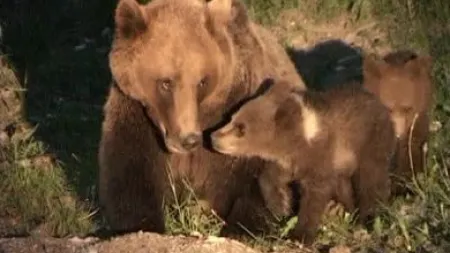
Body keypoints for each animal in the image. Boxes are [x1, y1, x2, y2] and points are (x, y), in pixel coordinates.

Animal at [98, 0, 306, 237]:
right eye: (166, 82)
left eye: (202, 81)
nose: (189, 139)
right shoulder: (134, 114)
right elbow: (130, 176)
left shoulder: (244, 111)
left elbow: (258, 183)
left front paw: (240, 227)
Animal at [209, 79, 396, 245]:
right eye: (232, 117)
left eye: (241, 128)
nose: (213, 137)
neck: (298, 142)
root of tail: (380, 103)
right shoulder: (287, 163)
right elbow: (270, 180)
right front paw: (282, 208)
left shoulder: (320, 159)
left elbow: (314, 197)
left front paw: (300, 236)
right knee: (345, 186)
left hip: (371, 145)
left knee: (371, 180)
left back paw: (368, 217)